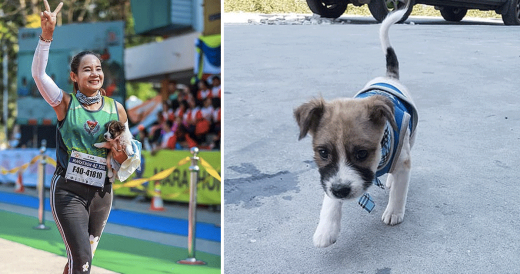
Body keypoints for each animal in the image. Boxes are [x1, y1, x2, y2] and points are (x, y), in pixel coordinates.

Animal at [296, 6, 418, 247]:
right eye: (323, 153)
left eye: (361, 153)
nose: (341, 191)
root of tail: (389, 77)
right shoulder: (331, 177)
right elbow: (329, 200)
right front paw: (326, 229)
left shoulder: (403, 159)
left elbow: (400, 190)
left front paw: (394, 211)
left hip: (412, 137)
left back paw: (391, 181)